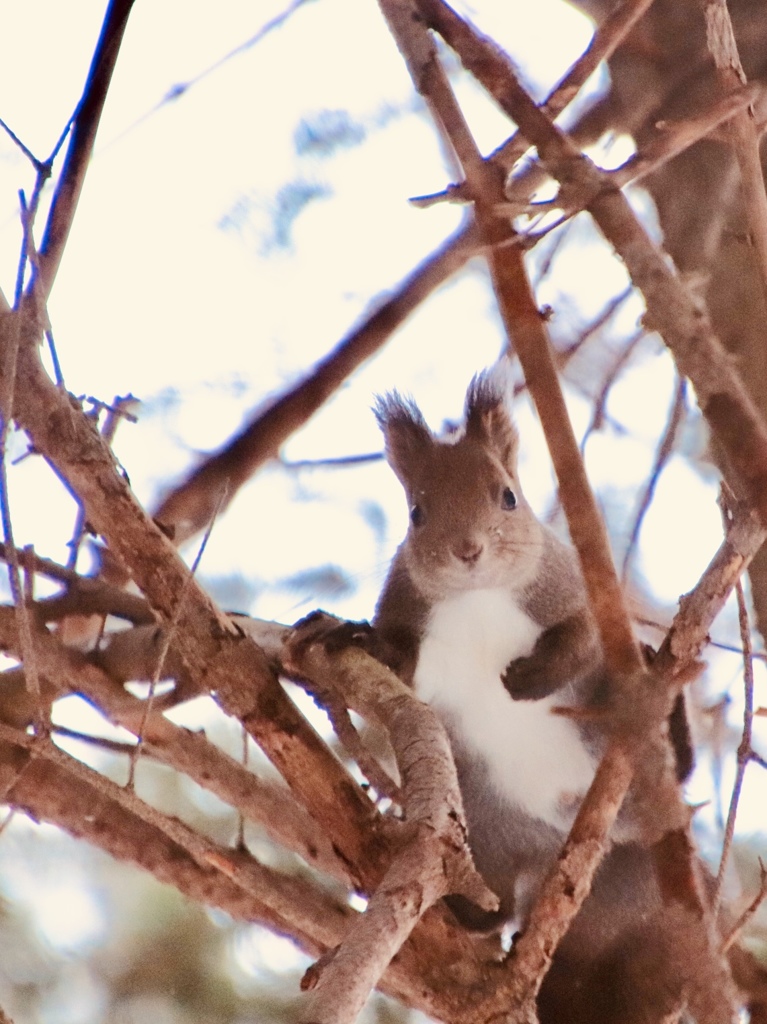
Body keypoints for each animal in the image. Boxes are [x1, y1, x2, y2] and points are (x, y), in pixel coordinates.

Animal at [370, 374, 700, 1024]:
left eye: (508, 497)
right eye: (416, 513)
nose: (468, 550)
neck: (479, 598)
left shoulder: (578, 595)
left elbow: (581, 641)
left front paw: (531, 679)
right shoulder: (410, 621)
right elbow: (396, 661)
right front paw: (347, 637)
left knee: (677, 766)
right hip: (487, 830)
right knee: (493, 906)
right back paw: (471, 911)